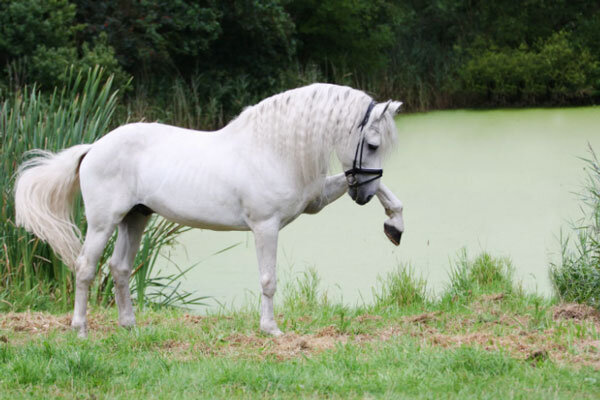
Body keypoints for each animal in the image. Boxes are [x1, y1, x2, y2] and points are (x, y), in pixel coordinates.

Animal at [14, 83, 406, 338]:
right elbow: (268, 280)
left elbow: (384, 192)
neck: (271, 149)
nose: (362, 194)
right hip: (102, 223)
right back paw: (80, 330)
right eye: (372, 144)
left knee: (120, 268)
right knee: (85, 268)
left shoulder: (316, 201)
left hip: (135, 218)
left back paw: (129, 327)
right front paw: (271, 330)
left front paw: (395, 224)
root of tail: (94, 147)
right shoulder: (266, 226)